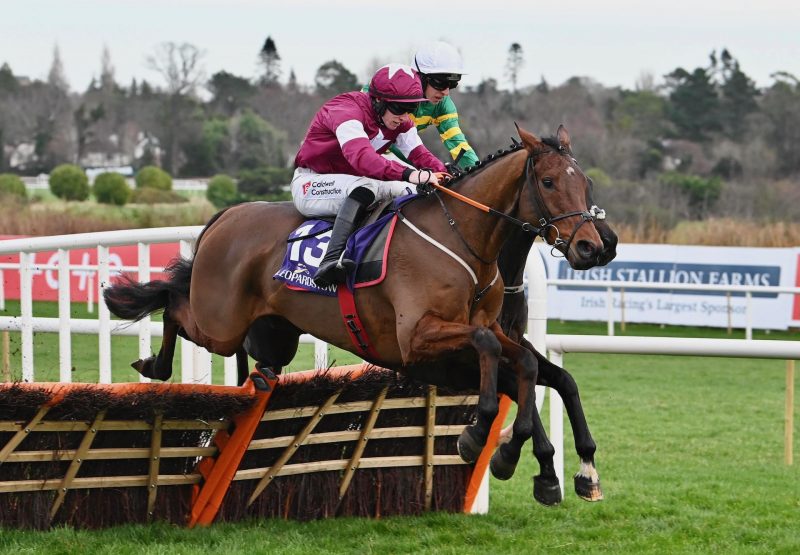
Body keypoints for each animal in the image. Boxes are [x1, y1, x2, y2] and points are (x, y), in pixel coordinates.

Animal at [106, 124, 612, 506]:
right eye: (548, 182)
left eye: (585, 184)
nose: (594, 246)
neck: (462, 238)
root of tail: (225, 215)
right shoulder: (420, 340)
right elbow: (498, 359)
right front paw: (483, 437)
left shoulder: (481, 336)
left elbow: (535, 369)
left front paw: (553, 465)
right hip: (219, 323)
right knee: (174, 303)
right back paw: (154, 363)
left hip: (271, 335)